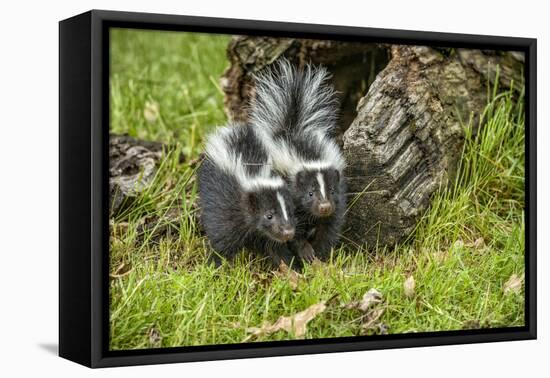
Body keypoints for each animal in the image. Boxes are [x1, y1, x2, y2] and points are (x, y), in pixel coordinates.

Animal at [199, 122, 298, 266]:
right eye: (269, 215)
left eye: (290, 212)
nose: (288, 232)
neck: (255, 176)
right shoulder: (226, 210)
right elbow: (222, 240)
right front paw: (214, 264)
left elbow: (275, 247)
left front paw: (289, 266)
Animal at [251, 59, 348, 262]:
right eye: (310, 193)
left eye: (332, 190)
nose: (324, 207)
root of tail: (290, 129)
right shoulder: (290, 201)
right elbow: (294, 231)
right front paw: (306, 253)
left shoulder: (337, 202)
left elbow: (330, 228)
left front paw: (321, 254)